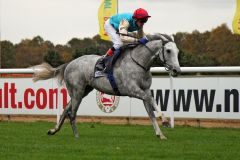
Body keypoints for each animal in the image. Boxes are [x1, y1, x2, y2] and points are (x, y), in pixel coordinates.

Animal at [32, 33, 181, 139]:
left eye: (177, 51)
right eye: (168, 50)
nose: (177, 70)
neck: (139, 63)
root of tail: (69, 63)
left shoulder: (145, 89)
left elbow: (150, 112)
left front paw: (160, 134)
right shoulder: (133, 90)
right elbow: (151, 100)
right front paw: (166, 121)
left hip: (83, 91)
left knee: (66, 109)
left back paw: (53, 130)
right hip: (77, 91)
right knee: (72, 112)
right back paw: (76, 136)